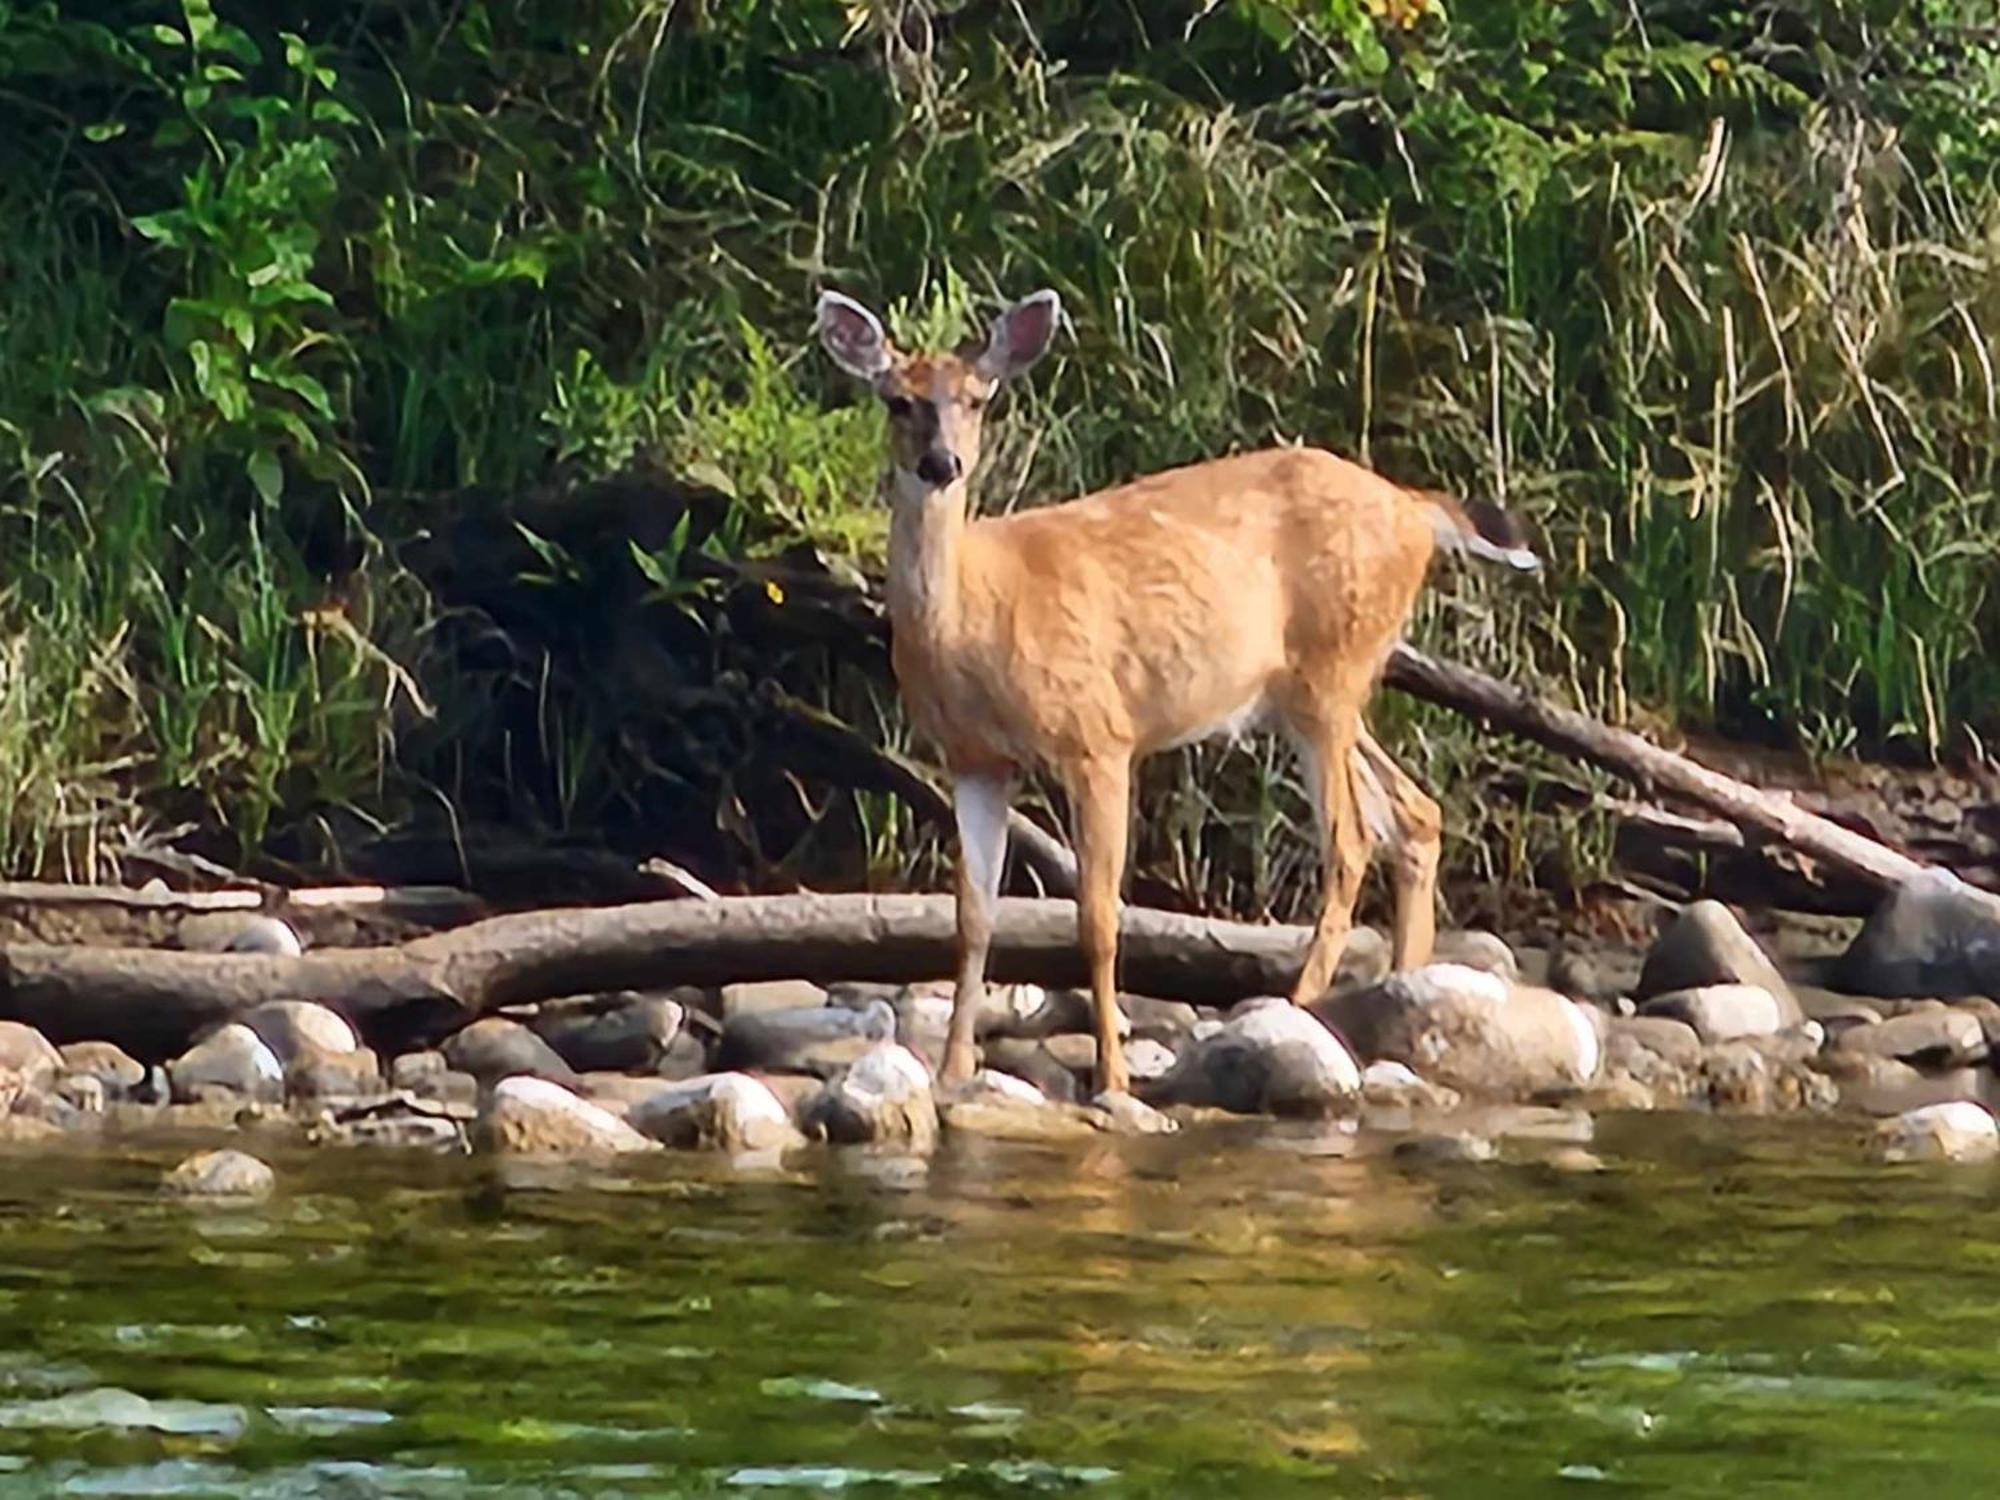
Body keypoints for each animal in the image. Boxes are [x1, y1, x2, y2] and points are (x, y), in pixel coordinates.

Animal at [812, 288, 1528, 1096]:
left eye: (978, 398)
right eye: (897, 400)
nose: (941, 463)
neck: (979, 614)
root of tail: (1414, 507)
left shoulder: (1098, 735)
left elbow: (1097, 916)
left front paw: (1112, 1076)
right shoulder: (975, 760)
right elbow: (973, 916)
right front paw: (953, 1069)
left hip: (1333, 671)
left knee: (1351, 841)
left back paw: (1297, 1006)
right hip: (1311, 690)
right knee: (1415, 813)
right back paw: (1398, 1000)